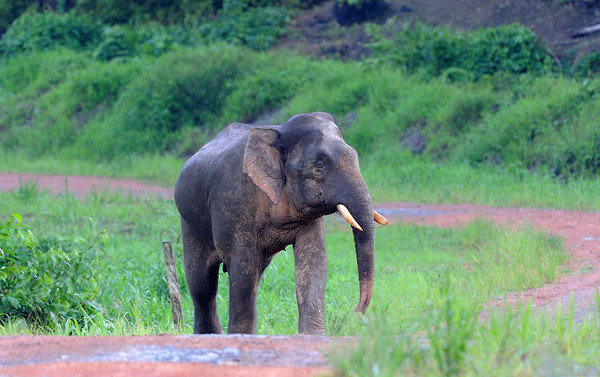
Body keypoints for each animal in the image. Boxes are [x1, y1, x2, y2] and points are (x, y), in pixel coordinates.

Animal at [173, 111, 390, 334]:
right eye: (319, 166)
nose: (353, 314)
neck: (278, 133)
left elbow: (314, 259)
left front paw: (312, 336)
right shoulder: (234, 204)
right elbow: (243, 265)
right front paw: (241, 336)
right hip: (190, 224)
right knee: (202, 284)